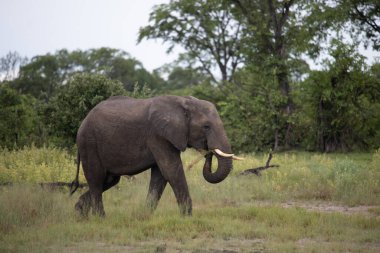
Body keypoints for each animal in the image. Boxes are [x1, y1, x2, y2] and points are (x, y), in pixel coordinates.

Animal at [69, 94, 240, 216]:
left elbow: (160, 175)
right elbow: (171, 170)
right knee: (96, 178)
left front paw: (145, 215)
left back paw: (79, 213)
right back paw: (101, 218)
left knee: (109, 180)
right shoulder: (158, 135)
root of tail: (83, 121)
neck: (184, 102)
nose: (208, 152)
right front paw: (187, 216)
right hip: (89, 143)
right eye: (206, 126)